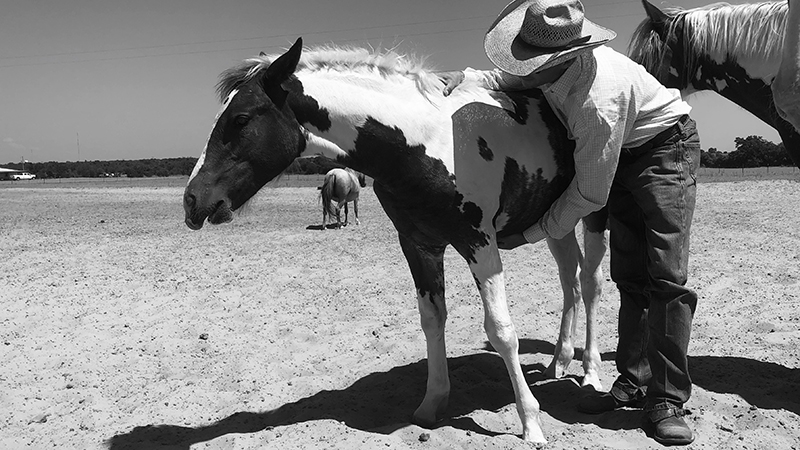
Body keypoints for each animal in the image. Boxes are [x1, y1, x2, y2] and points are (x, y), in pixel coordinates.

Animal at [183, 37, 607, 444]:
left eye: (240, 119)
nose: (192, 201)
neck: (428, 142)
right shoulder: (419, 245)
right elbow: (432, 320)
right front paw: (432, 403)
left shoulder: (479, 243)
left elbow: (501, 331)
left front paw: (531, 423)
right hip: (556, 224)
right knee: (569, 281)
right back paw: (559, 361)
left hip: (594, 213)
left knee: (589, 285)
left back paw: (590, 372)